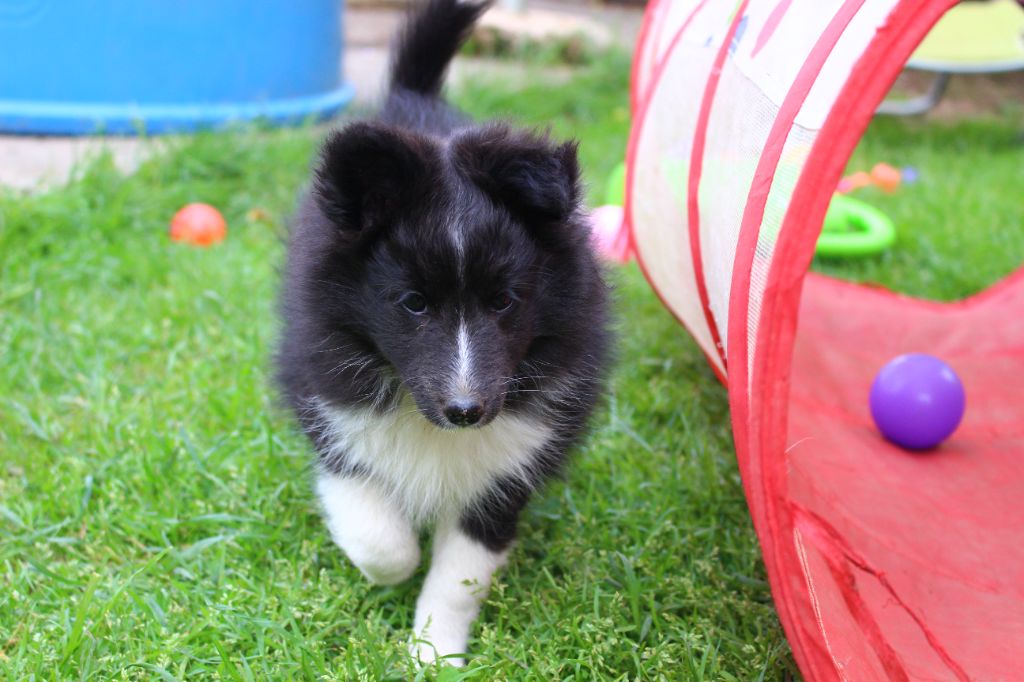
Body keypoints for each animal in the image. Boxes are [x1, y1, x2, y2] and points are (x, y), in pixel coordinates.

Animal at [276, 0, 612, 665]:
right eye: (413, 304)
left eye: (505, 301)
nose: (465, 411)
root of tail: (417, 103)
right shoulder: (330, 406)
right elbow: (378, 534)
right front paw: (394, 568)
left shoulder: (509, 467)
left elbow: (461, 573)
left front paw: (434, 655)